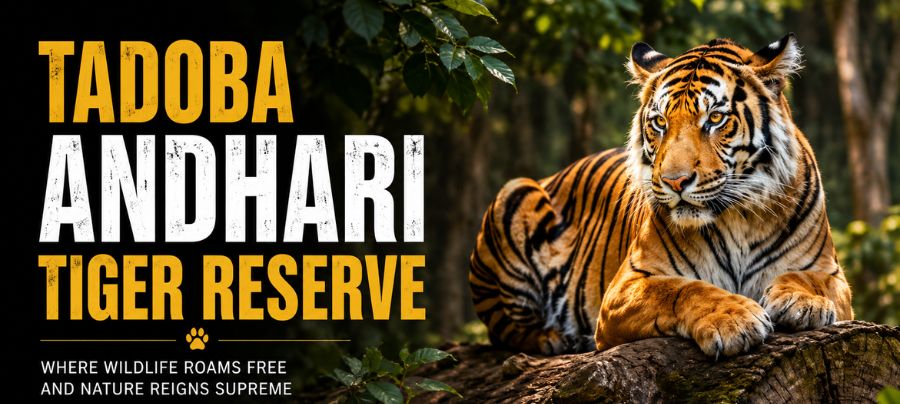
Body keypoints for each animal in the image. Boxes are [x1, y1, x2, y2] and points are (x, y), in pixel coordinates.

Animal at [468, 34, 853, 358]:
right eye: (660, 123)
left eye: (715, 118)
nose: (674, 181)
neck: (737, 217)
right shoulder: (627, 285)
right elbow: (682, 288)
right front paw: (733, 318)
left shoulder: (831, 273)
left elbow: (808, 277)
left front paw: (803, 302)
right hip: (515, 192)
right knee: (505, 328)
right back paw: (556, 339)